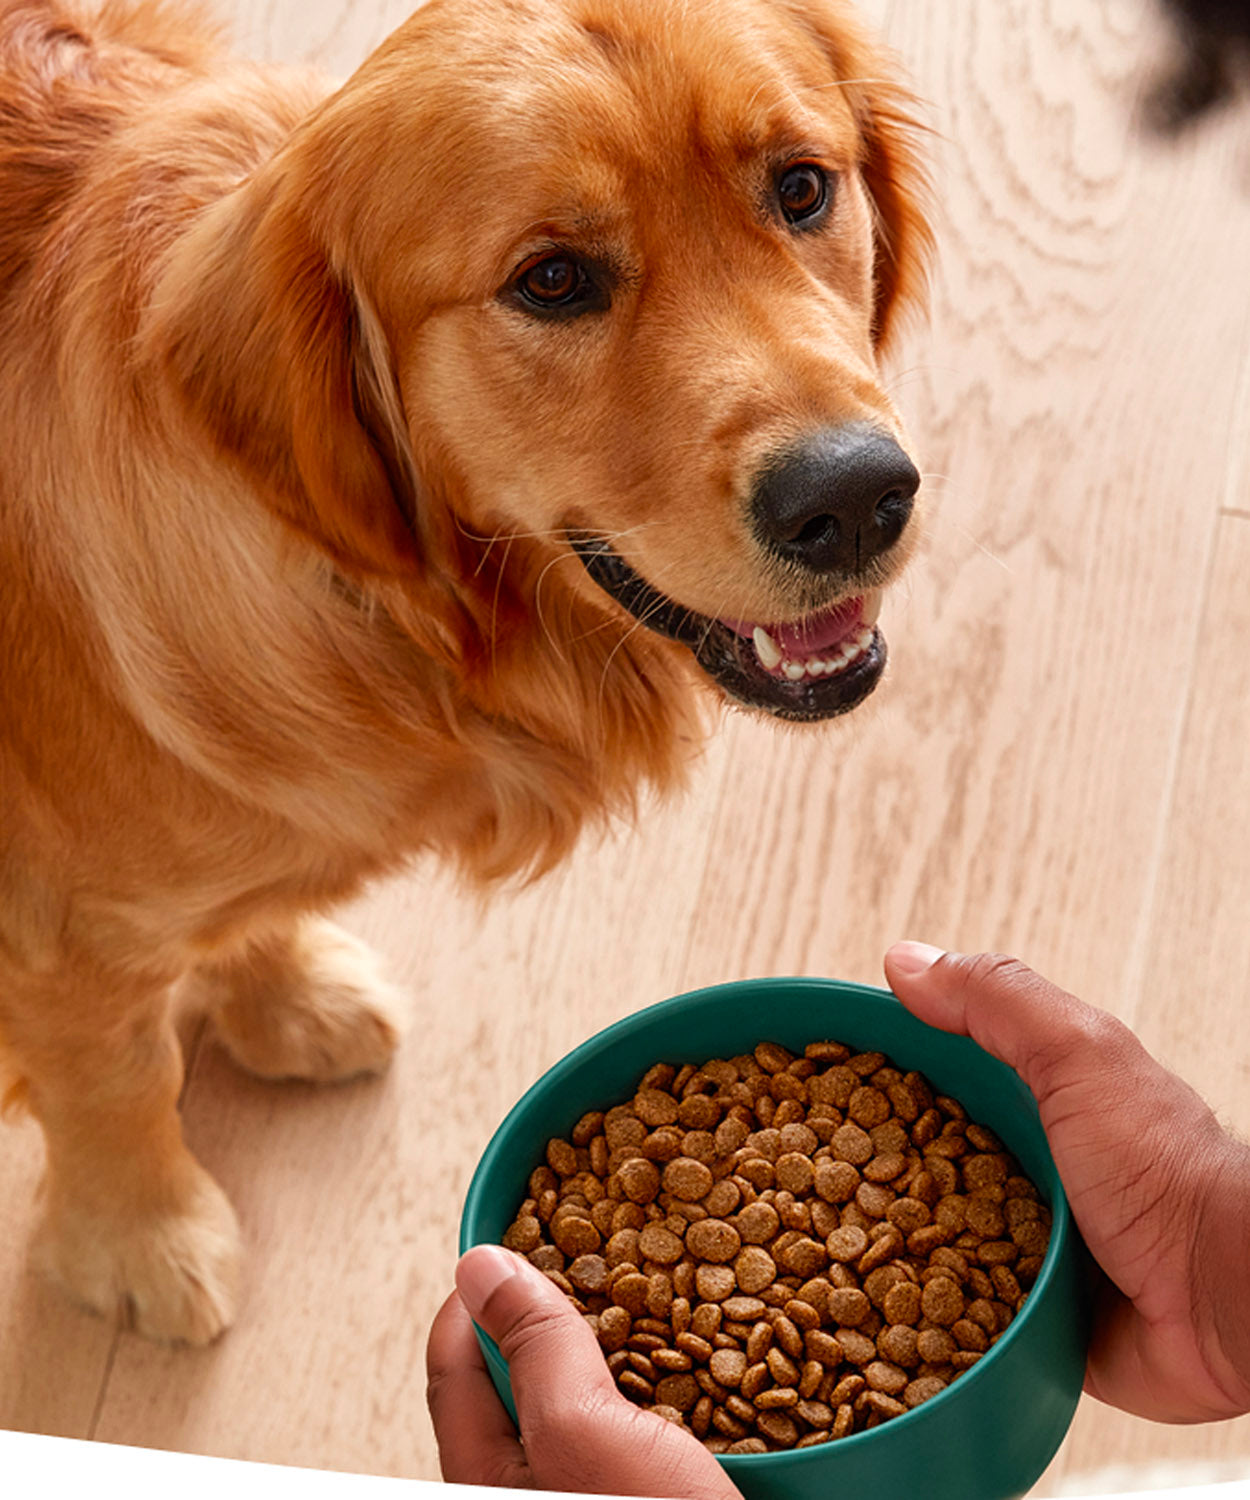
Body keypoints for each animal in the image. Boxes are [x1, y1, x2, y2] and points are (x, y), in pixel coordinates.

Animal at [0, 0, 924, 1344]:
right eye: (551, 280)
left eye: (801, 188)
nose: (854, 498)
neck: (416, 632)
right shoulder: (57, 921)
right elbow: (115, 1071)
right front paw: (141, 1238)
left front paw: (282, 996)